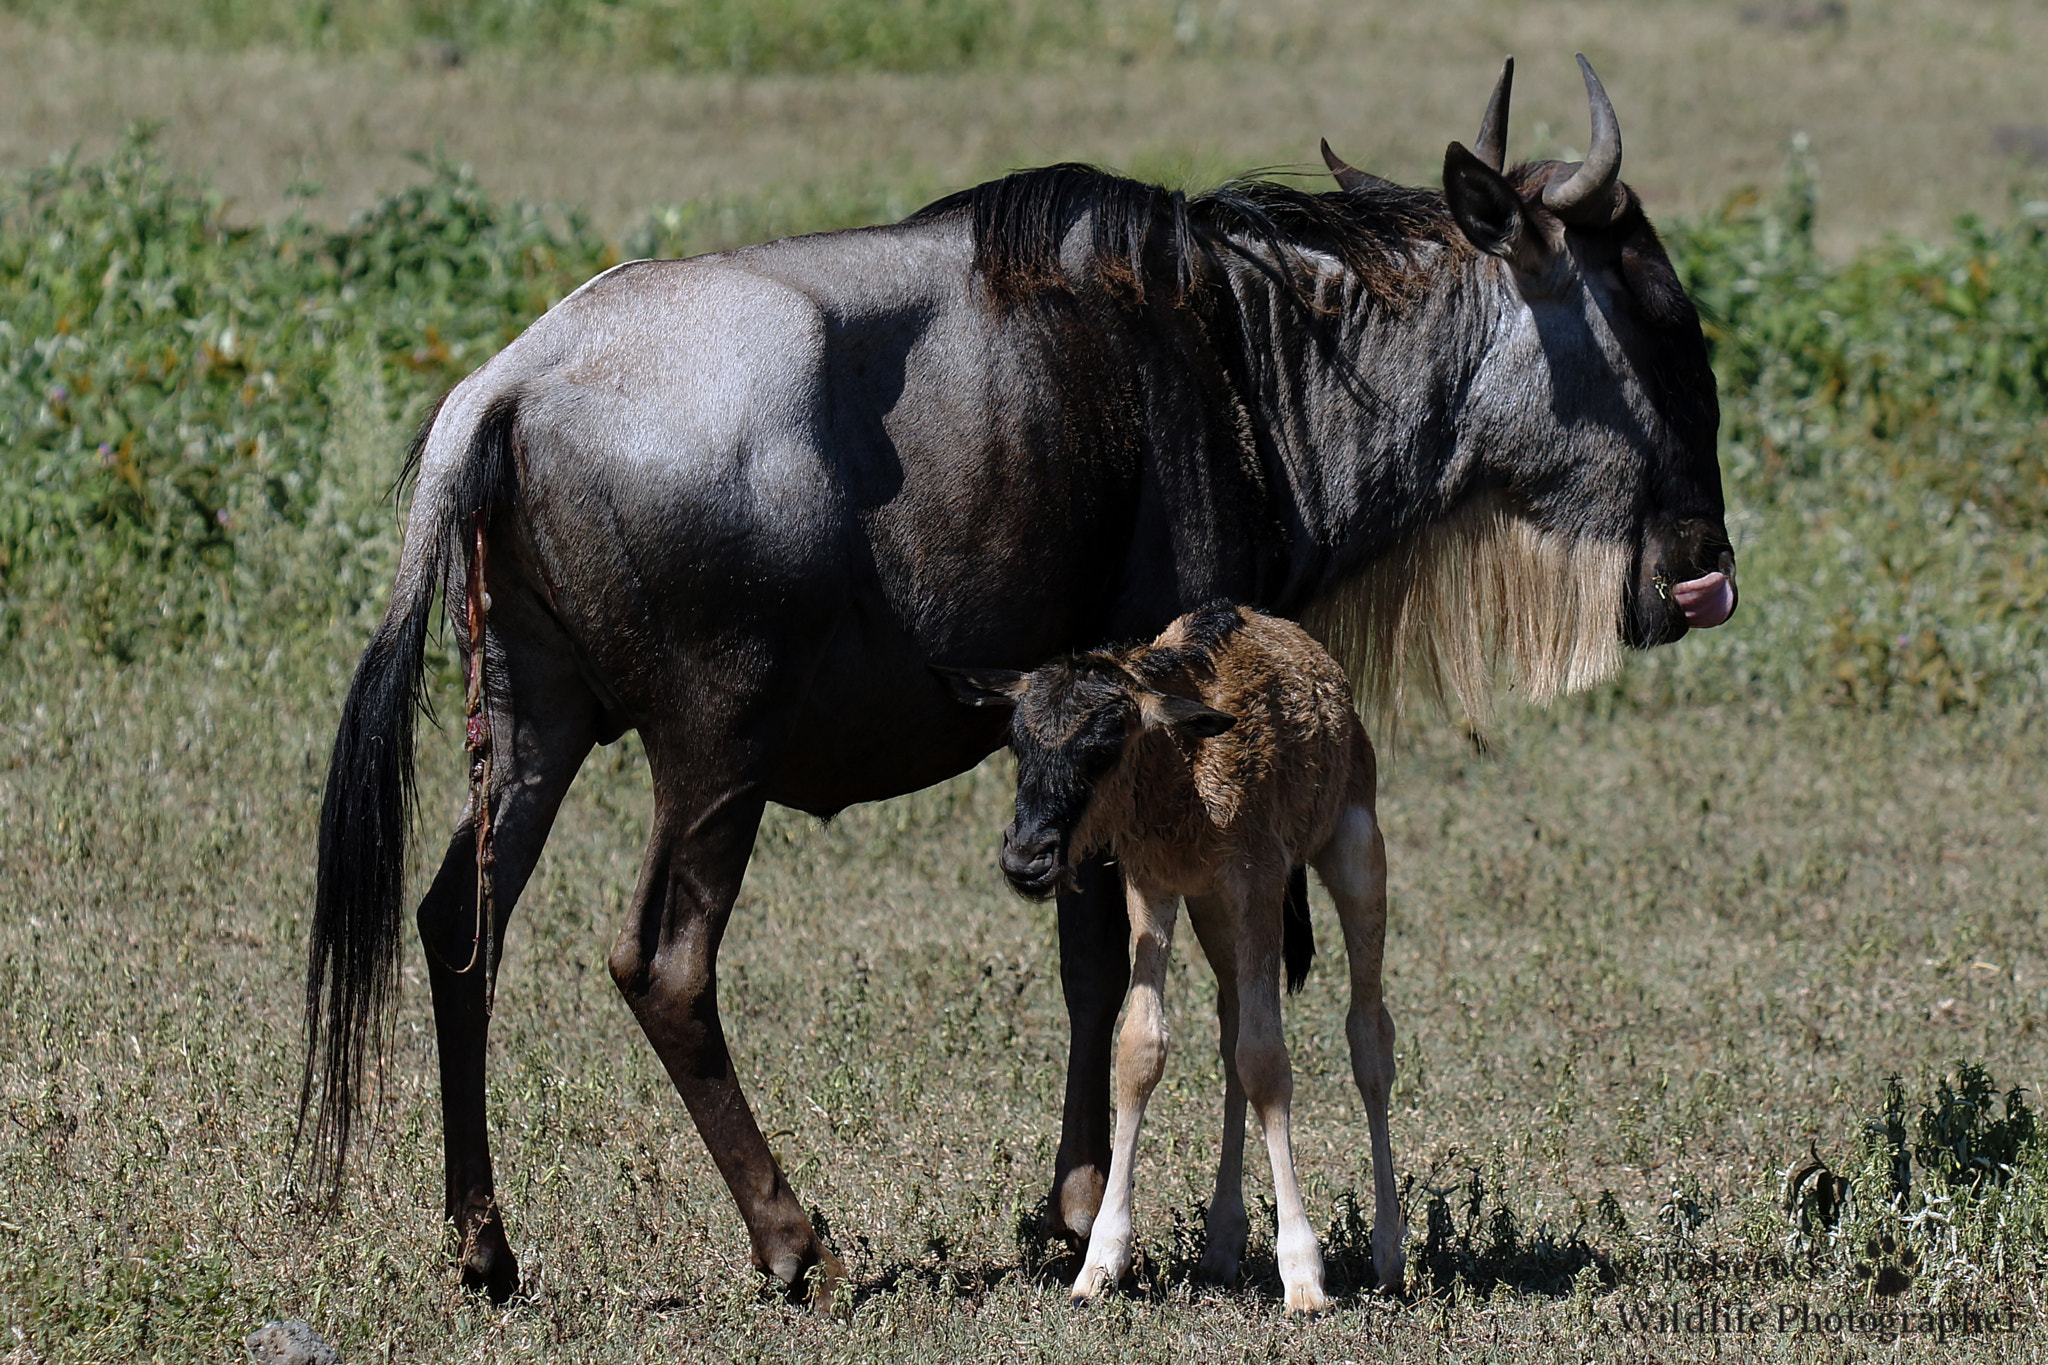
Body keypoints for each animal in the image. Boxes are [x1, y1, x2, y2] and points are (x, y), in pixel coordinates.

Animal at [946, 605, 1409, 1309]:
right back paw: (1222, 1244)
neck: (1181, 767)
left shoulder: (1258, 881)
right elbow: (1141, 1047)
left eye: (1103, 748)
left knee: (1368, 1036)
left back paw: (1388, 1250)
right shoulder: (1153, 888)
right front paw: (1100, 1261)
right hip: (1213, 913)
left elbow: (1267, 1061)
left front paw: (1303, 1272)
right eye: (1019, 743)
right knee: (1230, 1029)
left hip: (1355, 848)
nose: (1026, 859)